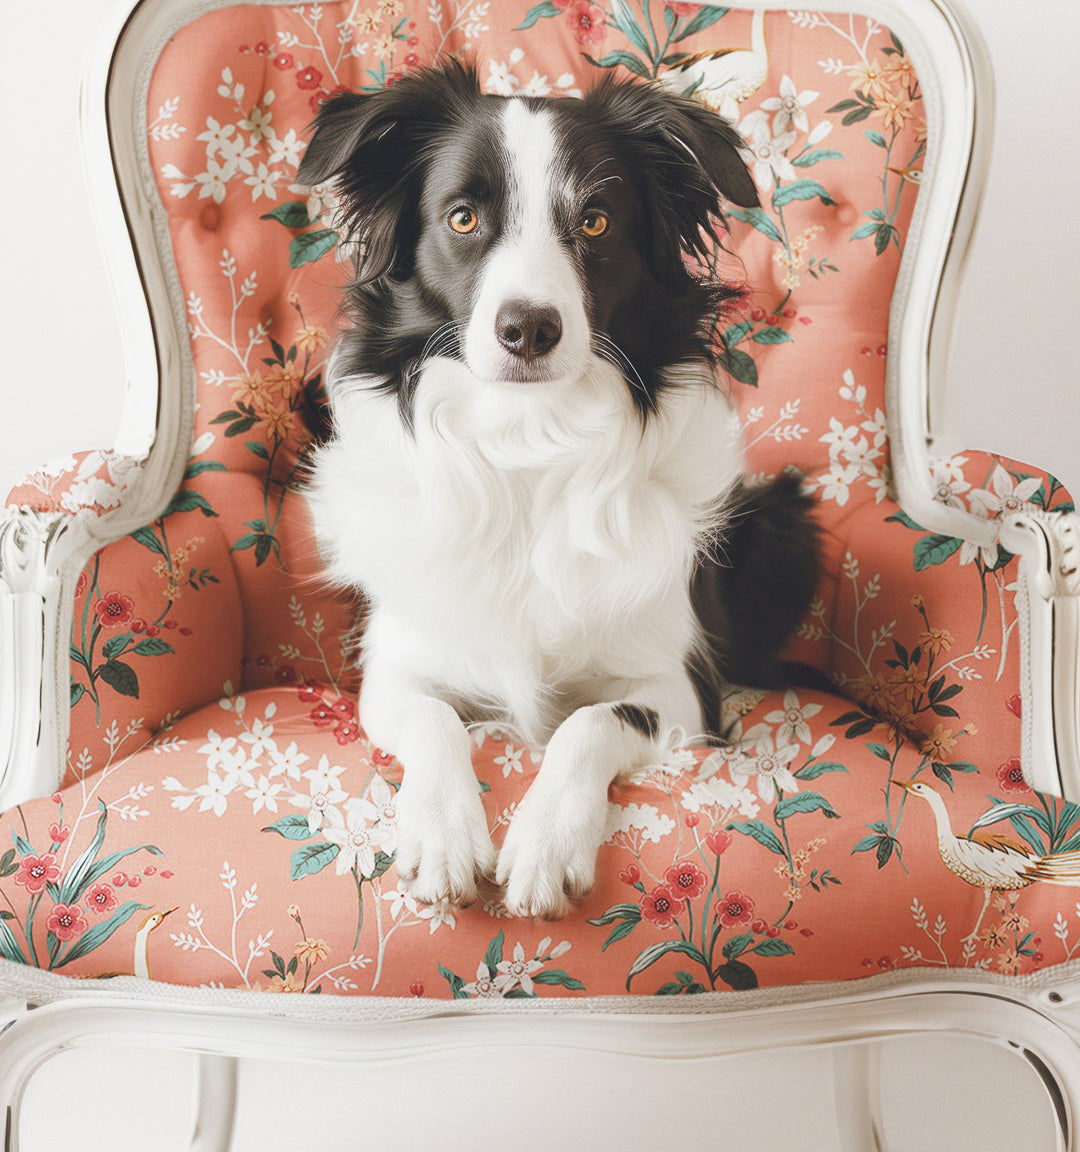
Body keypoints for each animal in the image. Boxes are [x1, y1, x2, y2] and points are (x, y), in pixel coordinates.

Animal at [294, 63, 815, 921]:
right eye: (463, 217)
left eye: (596, 222)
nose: (529, 328)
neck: (528, 441)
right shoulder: (394, 671)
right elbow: (435, 717)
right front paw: (442, 836)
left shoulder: (680, 689)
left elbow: (588, 724)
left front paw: (544, 848)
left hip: (781, 521)